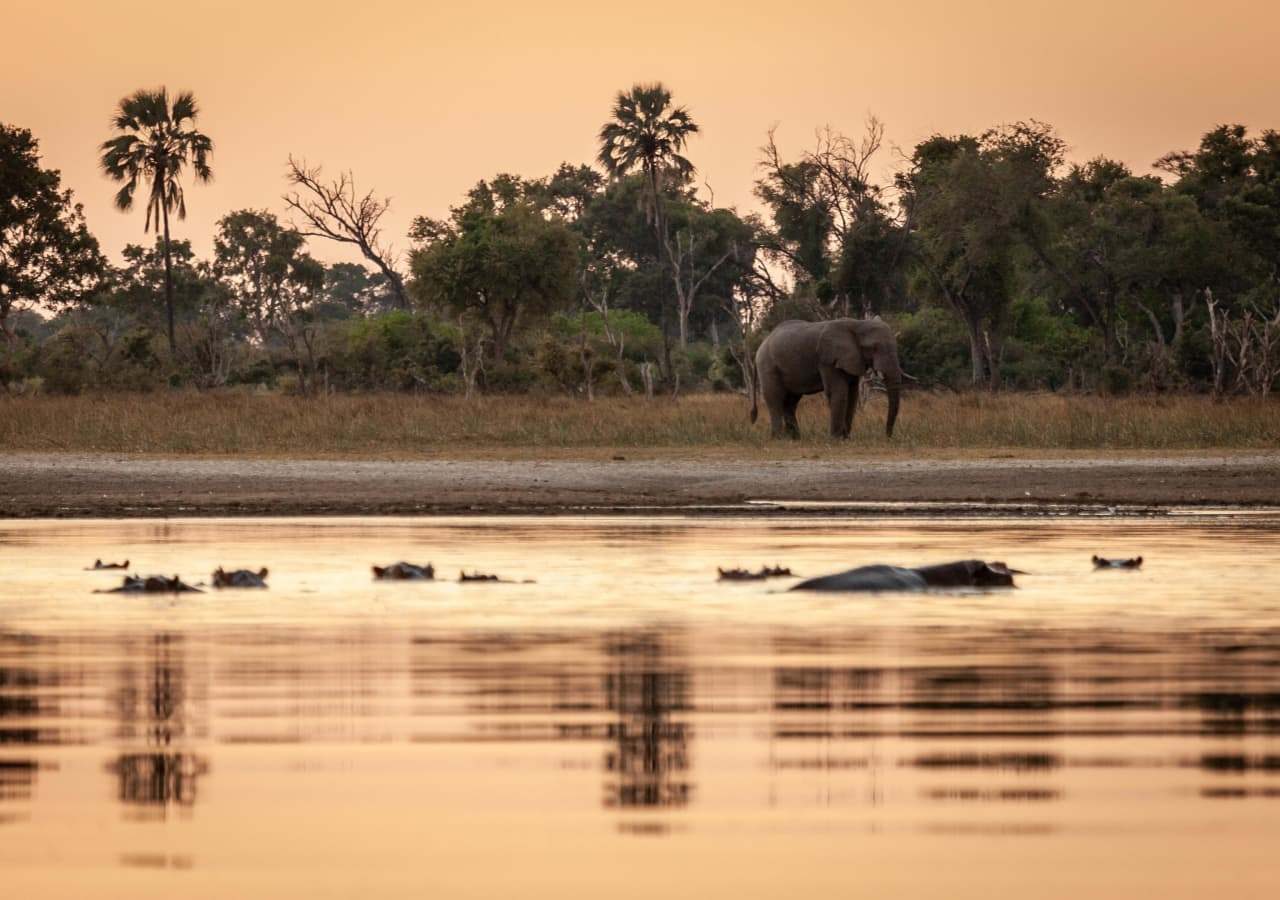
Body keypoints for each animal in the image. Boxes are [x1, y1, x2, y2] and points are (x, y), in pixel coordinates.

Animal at [747, 320, 906, 440]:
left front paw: (846, 438)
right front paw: (836, 439)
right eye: (873, 348)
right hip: (768, 366)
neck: (857, 323)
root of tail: (760, 347)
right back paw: (778, 439)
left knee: (790, 402)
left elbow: (852, 395)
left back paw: (795, 439)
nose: (887, 437)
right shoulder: (827, 360)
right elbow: (839, 392)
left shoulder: (851, 359)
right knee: (775, 399)